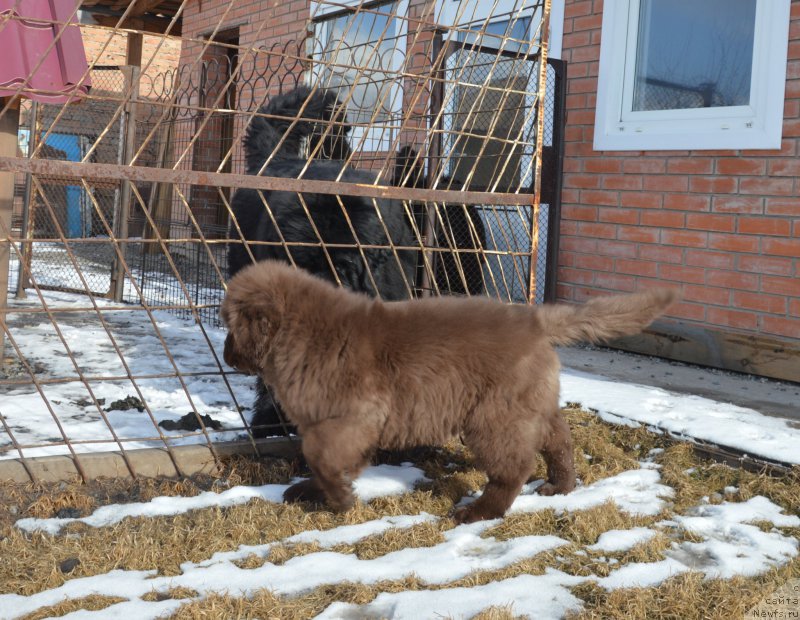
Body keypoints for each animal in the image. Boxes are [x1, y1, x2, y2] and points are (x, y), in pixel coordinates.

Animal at [222, 260, 680, 524]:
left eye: (229, 323)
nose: (225, 354)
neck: (302, 332)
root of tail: (534, 320)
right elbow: (324, 460)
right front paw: (313, 492)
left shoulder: (349, 418)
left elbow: (323, 457)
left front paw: (339, 500)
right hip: (530, 402)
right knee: (559, 441)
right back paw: (560, 487)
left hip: (494, 415)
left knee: (513, 466)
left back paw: (479, 512)